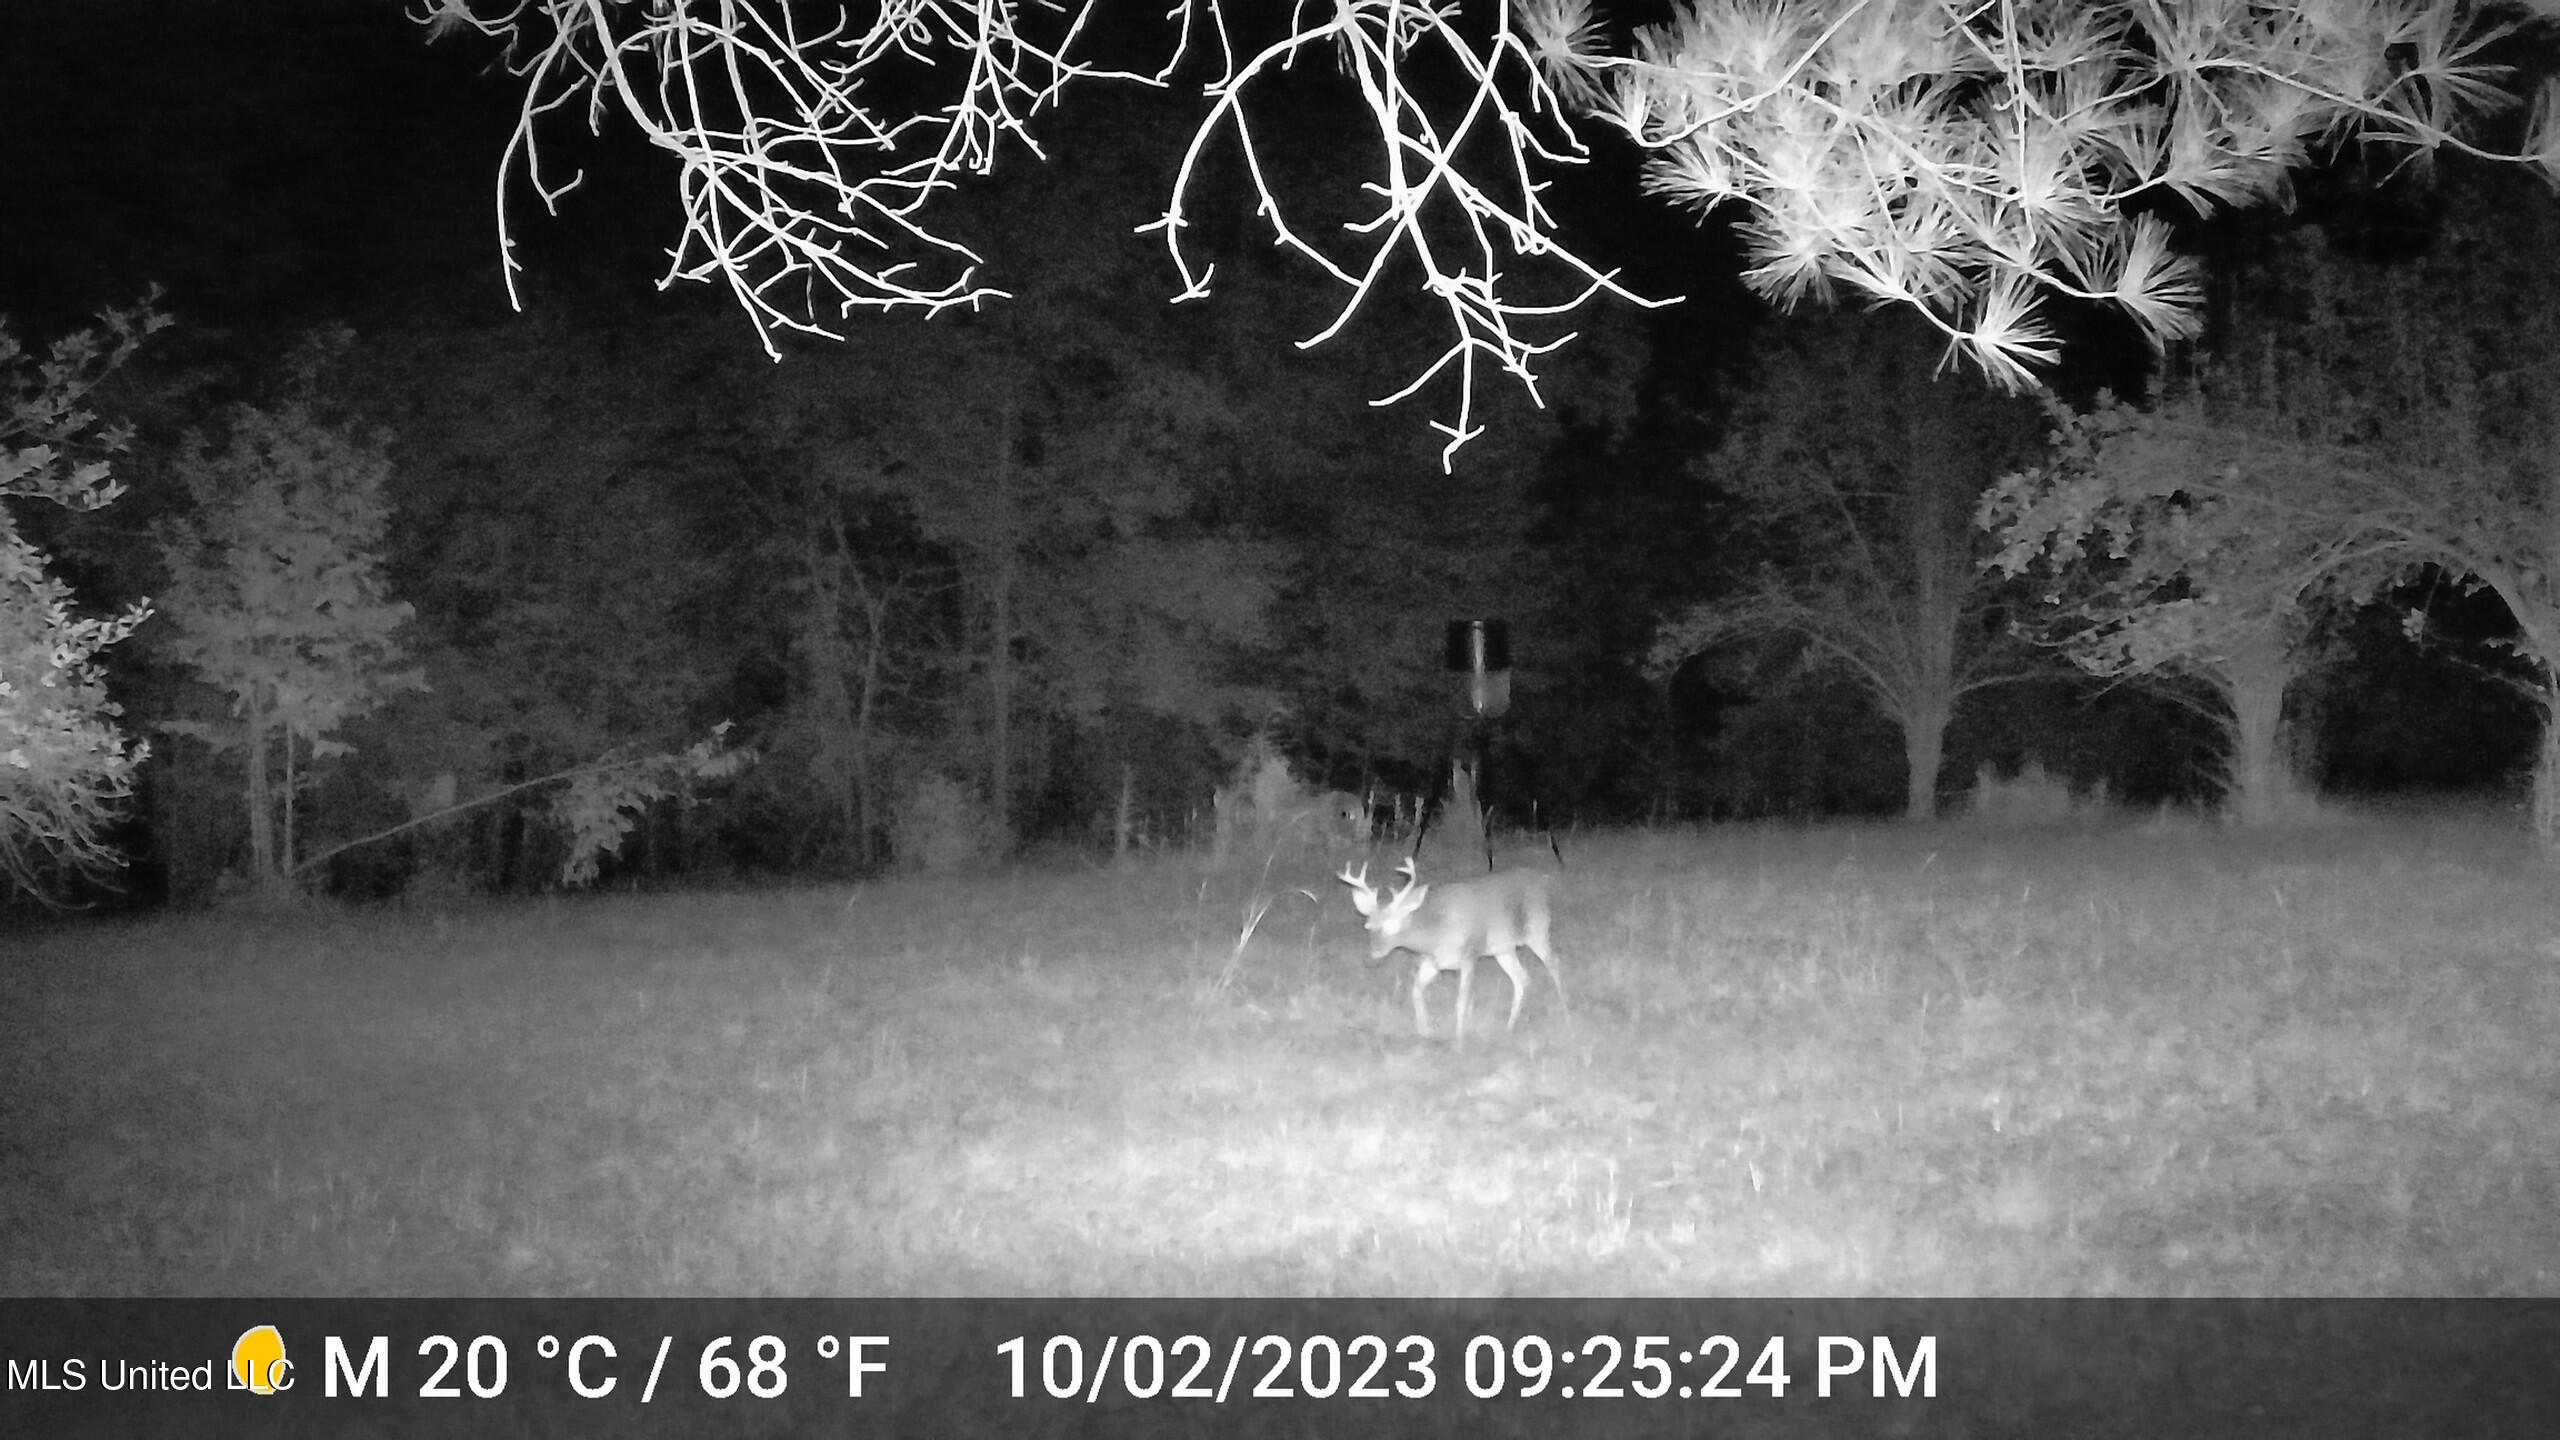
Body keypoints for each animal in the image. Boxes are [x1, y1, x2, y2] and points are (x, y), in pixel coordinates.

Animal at [1336, 858, 1568, 1046]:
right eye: (1368, 925)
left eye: (1393, 924)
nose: (1374, 953)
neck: (1436, 932)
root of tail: (1542, 880)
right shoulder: (1433, 961)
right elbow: (1416, 990)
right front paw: (1425, 1031)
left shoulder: (1470, 954)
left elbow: (1461, 1001)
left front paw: (1459, 1040)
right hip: (1503, 949)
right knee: (1522, 978)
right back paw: (1509, 1028)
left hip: (1537, 929)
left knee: (1554, 962)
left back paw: (1565, 1014)